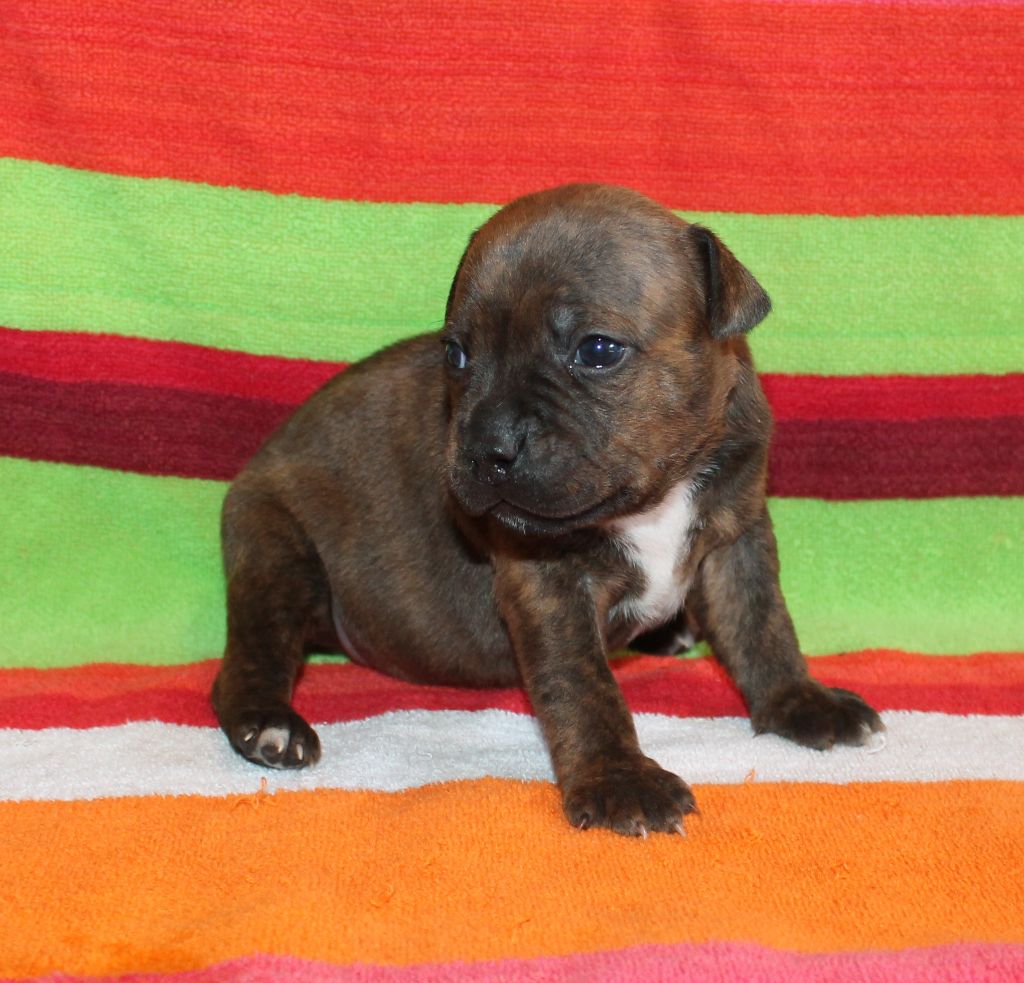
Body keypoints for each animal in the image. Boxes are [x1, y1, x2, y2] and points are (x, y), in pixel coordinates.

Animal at [212, 183, 882, 837]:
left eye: (598, 350)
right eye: (456, 355)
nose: (488, 448)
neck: (656, 493)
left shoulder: (737, 536)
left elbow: (762, 625)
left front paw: (801, 702)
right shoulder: (548, 584)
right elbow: (583, 685)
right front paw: (620, 781)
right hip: (278, 553)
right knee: (252, 651)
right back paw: (270, 726)